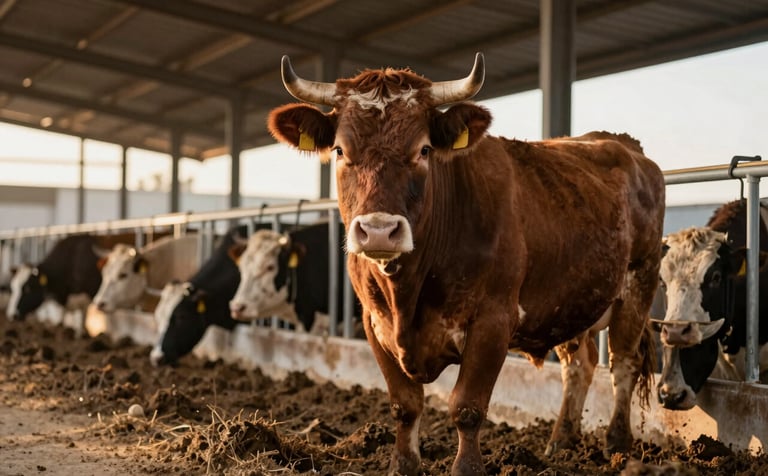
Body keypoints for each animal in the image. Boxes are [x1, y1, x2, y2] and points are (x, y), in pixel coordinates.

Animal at [266, 53, 666, 475]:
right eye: (341, 150)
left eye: (424, 150)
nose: (378, 232)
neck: (407, 293)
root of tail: (625, 146)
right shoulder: (374, 323)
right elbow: (405, 405)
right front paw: (402, 464)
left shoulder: (493, 321)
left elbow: (467, 407)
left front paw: (467, 467)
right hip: (573, 299)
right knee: (580, 364)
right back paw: (560, 440)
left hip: (639, 282)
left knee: (623, 363)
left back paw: (617, 443)